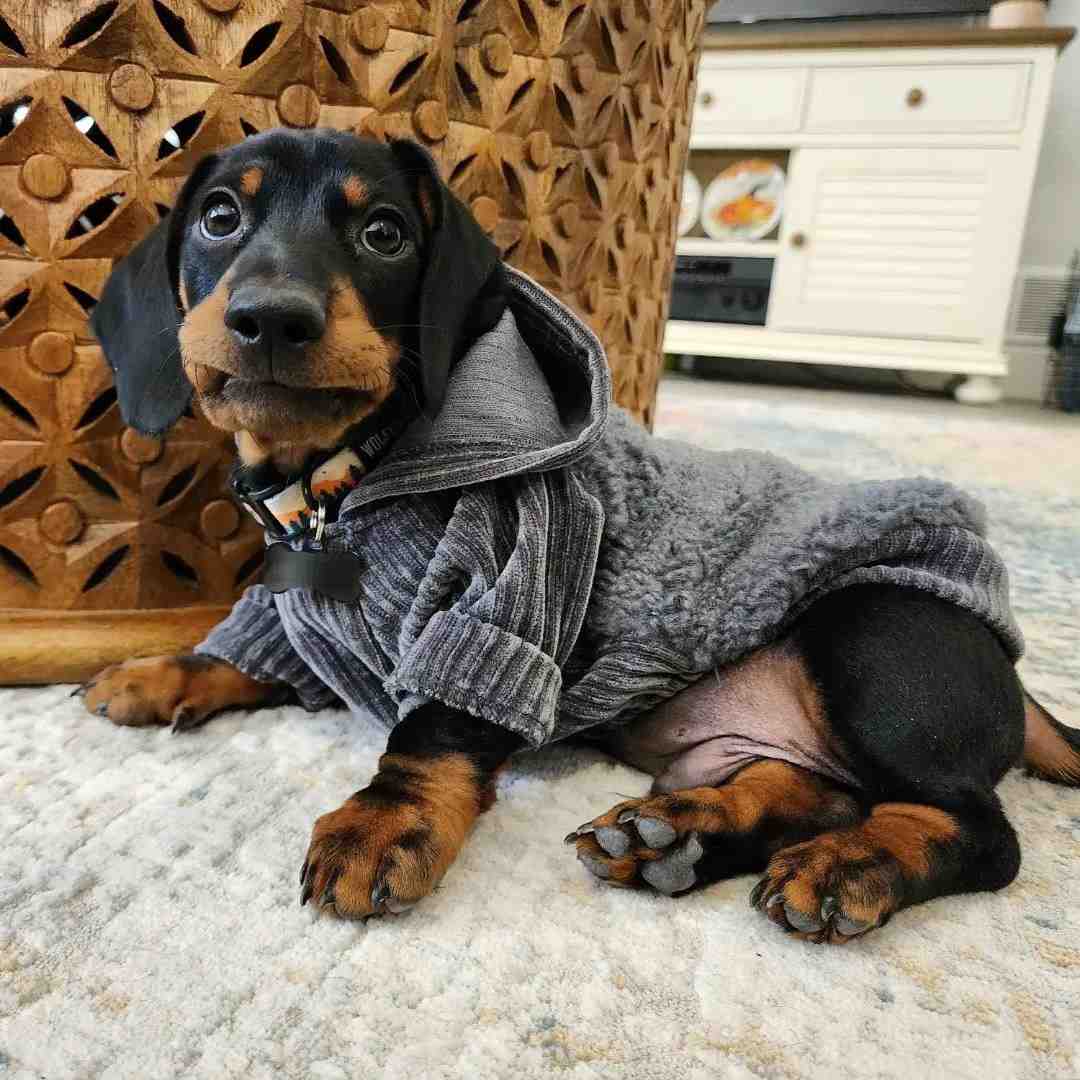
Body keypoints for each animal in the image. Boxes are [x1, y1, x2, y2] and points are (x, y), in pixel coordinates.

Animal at [82, 128, 1080, 942]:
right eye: (219, 217)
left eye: (385, 235)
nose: (270, 319)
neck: (346, 480)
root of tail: (1009, 671)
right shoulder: (295, 615)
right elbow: (251, 648)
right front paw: (160, 672)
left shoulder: (512, 590)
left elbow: (430, 733)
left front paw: (382, 822)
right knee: (818, 793)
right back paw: (677, 836)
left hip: (873, 637)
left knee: (980, 833)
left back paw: (852, 866)